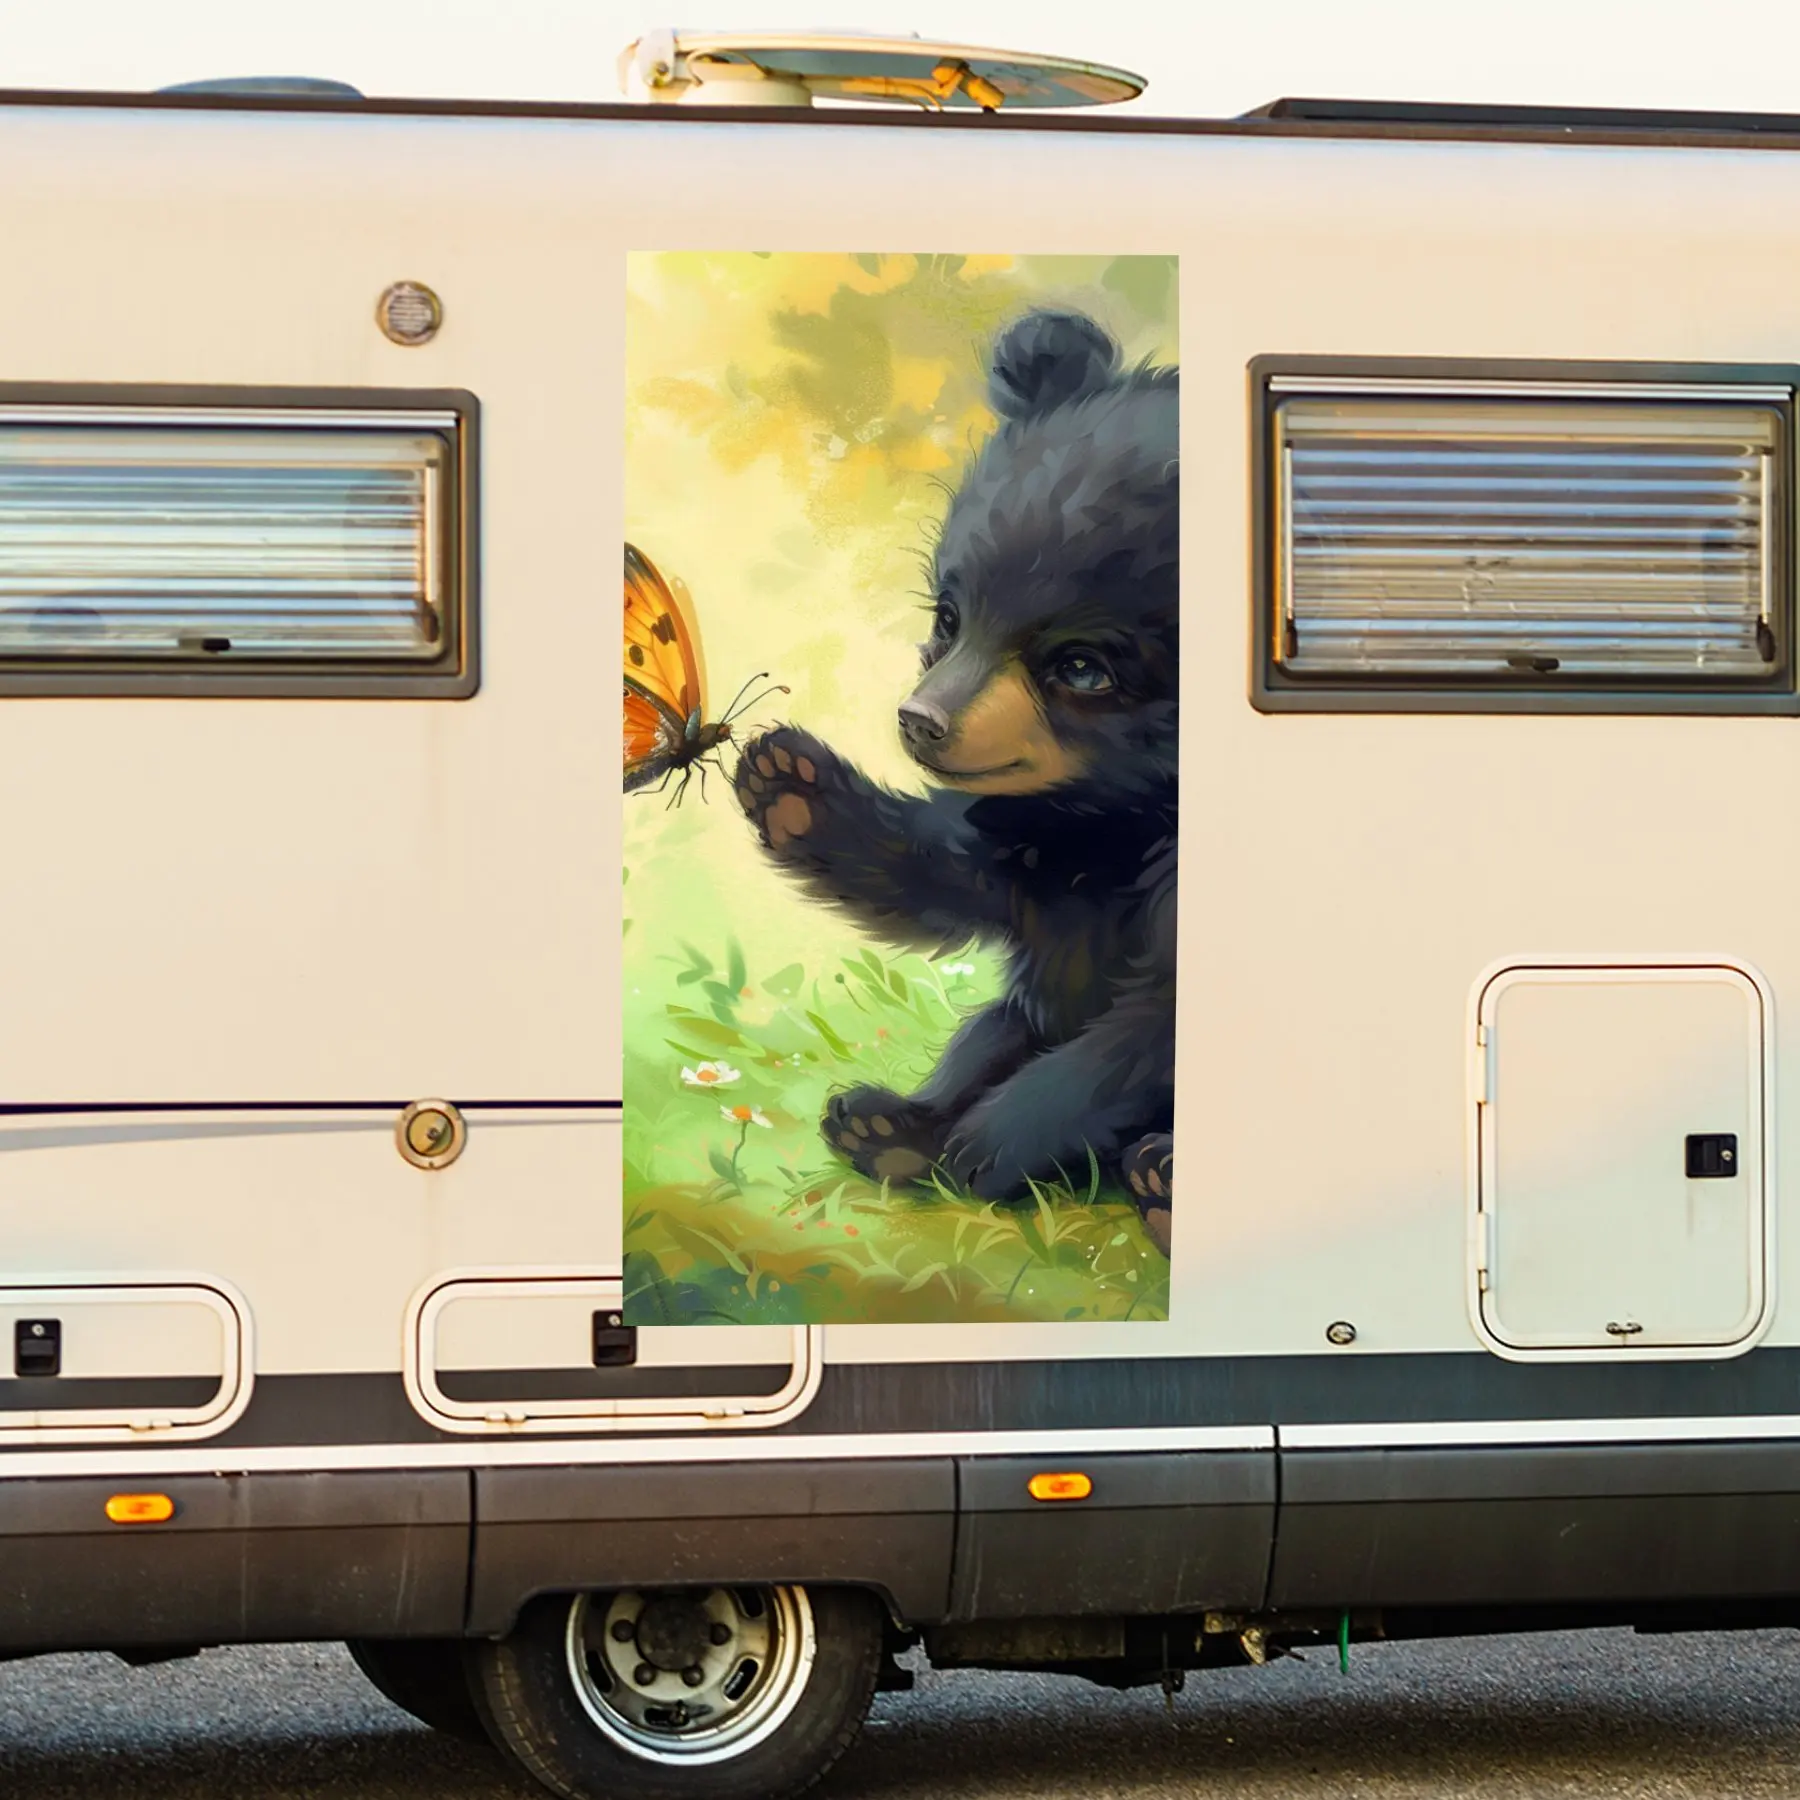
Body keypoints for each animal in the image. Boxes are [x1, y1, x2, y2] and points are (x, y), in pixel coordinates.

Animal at [733, 307, 1177, 1255]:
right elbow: (957, 871)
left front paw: (994, 1144)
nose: (922, 721)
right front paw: (788, 780)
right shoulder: (1044, 847)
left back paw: (1155, 1179)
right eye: (949, 615)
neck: (1123, 812)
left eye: (1082, 667)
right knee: (986, 1028)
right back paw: (891, 1127)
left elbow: (1141, 1033)